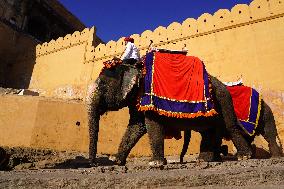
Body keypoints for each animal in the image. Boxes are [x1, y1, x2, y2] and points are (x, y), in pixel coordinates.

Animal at [87, 55, 252, 167]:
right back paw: (205, 159)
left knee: (229, 126)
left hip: (224, 98)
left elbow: (151, 124)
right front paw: (116, 161)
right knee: (208, 131)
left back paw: (244, 157)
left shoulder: (147, 94)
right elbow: (136, 126)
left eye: (102, 85)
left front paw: (155, 163)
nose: (94, 164)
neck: (134, 67)